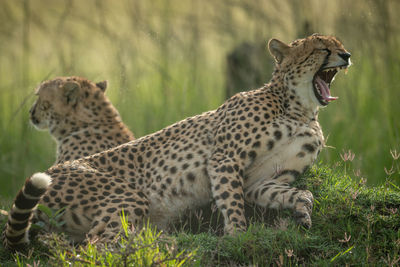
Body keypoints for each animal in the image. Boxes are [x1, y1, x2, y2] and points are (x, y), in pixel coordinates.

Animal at [4, 34, 352, 251]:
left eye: (339, 44)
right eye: (322, 48)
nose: (347, 55)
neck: (300, 109)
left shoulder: (263, 179)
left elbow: (300, 192)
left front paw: (302, 211)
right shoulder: (224, 159)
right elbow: (232, 203)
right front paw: (238, 237)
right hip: (126, 195)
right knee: (99, 244)